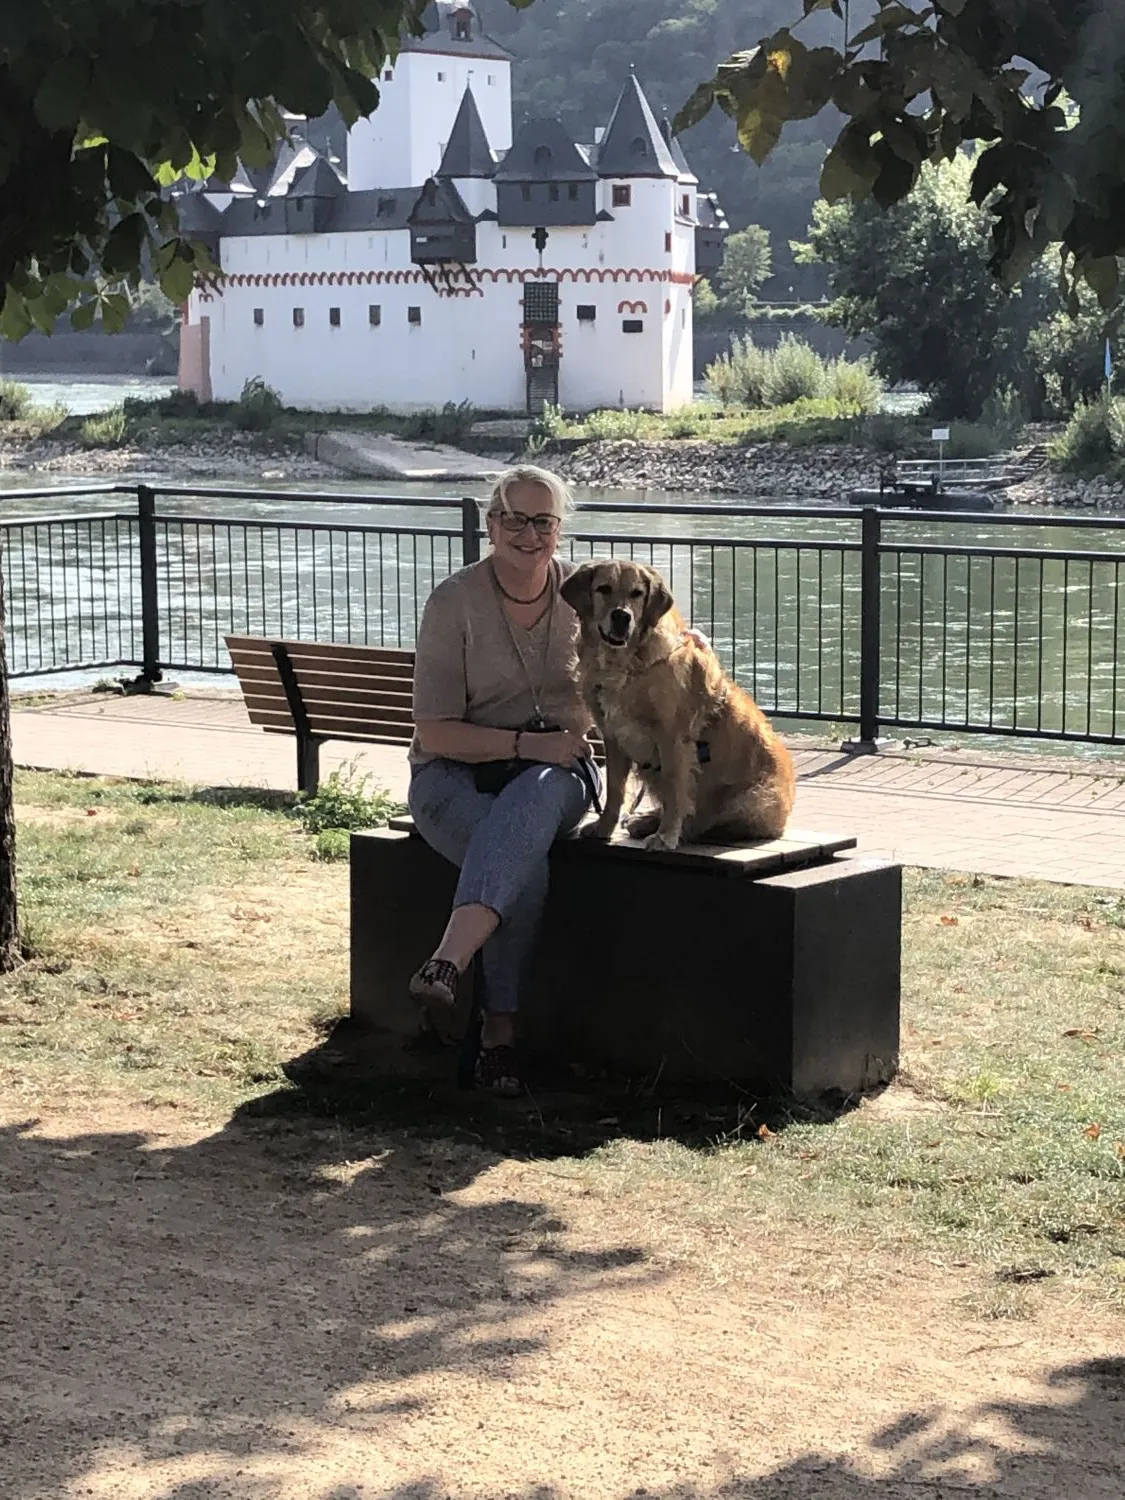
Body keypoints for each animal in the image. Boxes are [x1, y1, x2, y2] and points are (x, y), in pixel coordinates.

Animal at [561, 558, 792, 852]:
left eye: (637, 593)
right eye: (604, 588)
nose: (622, 617)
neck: (624, 664)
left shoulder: (672, 737)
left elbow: (674, 789)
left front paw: (666, 835)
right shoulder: (612, 736)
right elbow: (615, 789)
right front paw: (604, 828)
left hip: (755, 798)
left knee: (712, 821)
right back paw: (645, 821)